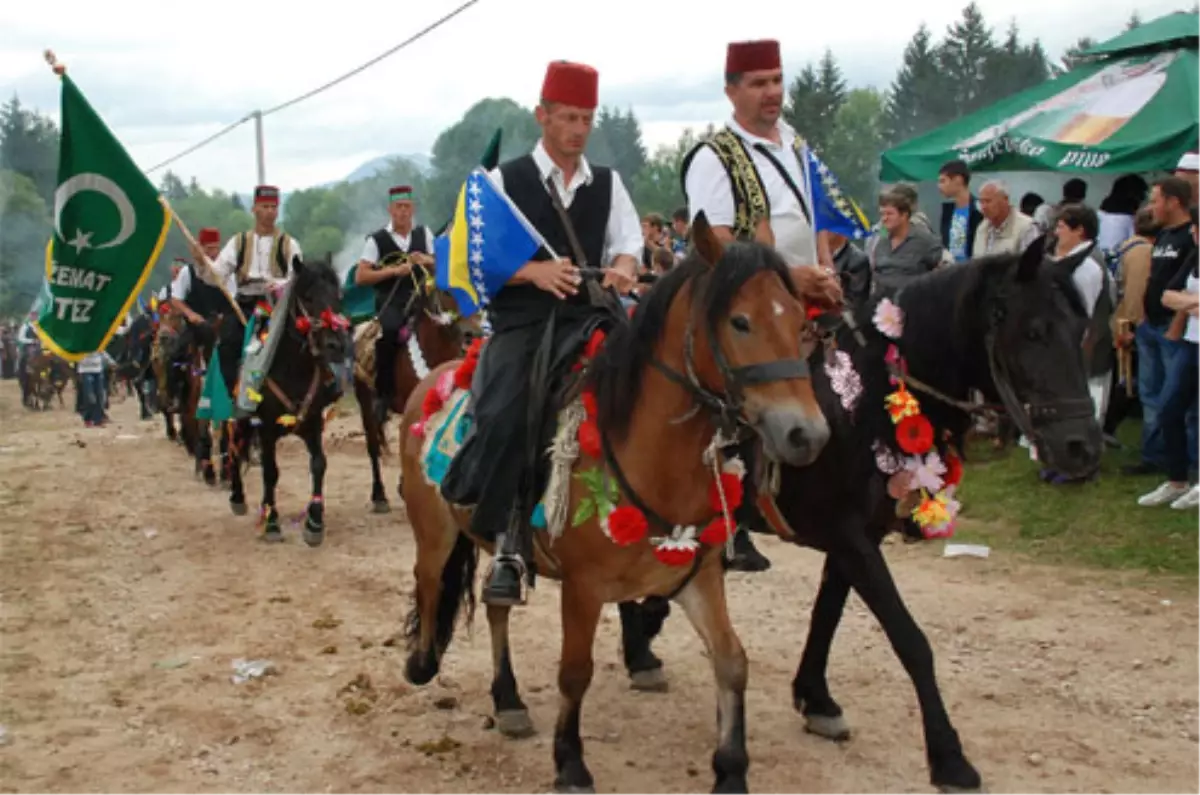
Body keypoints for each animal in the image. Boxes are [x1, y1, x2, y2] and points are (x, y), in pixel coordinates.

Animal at [225, 258, 348, 552]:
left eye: (338, 296)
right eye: (307, 296)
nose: (336, 345)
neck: (292, 369)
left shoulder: (312, 423)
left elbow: (319, 464)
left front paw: (314, 524)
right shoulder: (266, 428)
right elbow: (270, 472)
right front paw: (271, 524)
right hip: (238, 416)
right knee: (233, 445)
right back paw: (237, 497)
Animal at [398, 219, 830, 795]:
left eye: (802, 324)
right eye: (740, 321)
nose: (807, 434)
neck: (649, 452)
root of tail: (432, 378)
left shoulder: (697, 576)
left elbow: (731, 660)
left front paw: (731, 770)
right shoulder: (583, 589)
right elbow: (574, 671)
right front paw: (570, 763)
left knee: (494, 604)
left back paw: (508, 700)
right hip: (434, 530)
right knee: (427, 581)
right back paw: (422, 662)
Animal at [614, 240, 1099, 792]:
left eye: (1081, 330)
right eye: (1034, 330)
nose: (1082, 447)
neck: (862, 401)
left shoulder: (857, 534)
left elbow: (827, 612)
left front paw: (816, 698)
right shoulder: (848, 535)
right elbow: (910, 638)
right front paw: (948, 755)